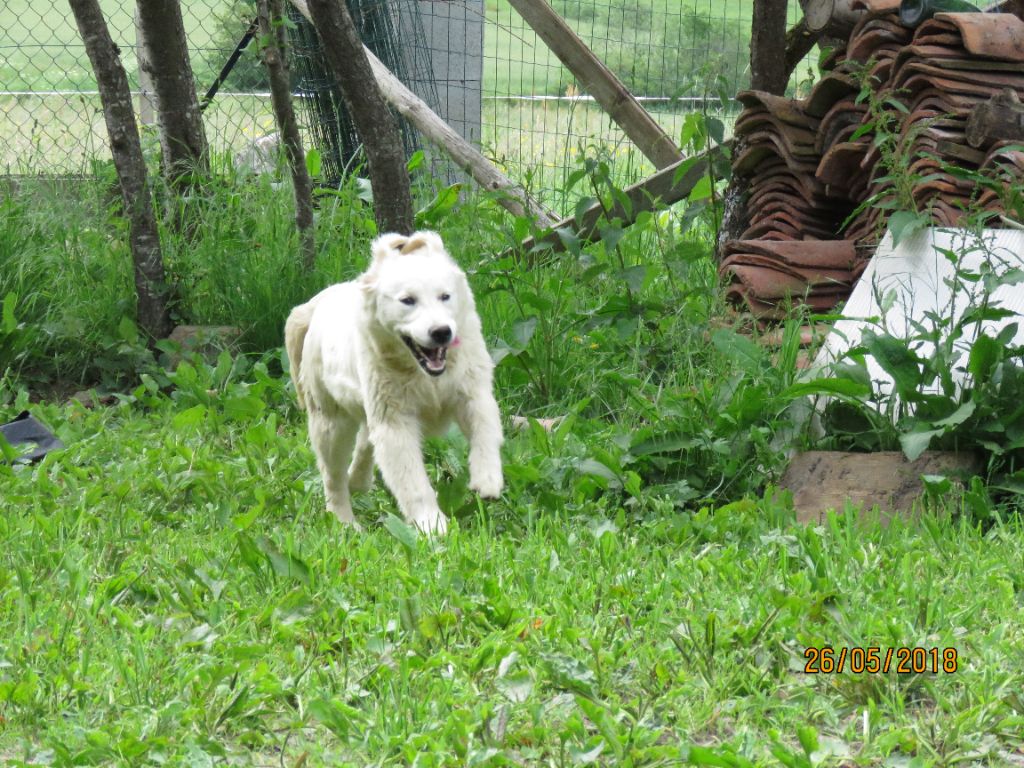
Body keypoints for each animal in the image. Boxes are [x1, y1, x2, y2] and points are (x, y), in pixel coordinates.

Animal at [284, 231, 503, 536]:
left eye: (445, 296)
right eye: (408, 300)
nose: (441, 332)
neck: (425, 375)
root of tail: (322, 299)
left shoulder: (473, 391)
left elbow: (486, 433)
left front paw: (487, 480)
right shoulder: (395, 422)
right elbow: (412, 480)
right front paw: (432, 525)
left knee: (366, 440)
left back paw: (359, 481)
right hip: (330, 419)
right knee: (333, 475)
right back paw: (344, 521)